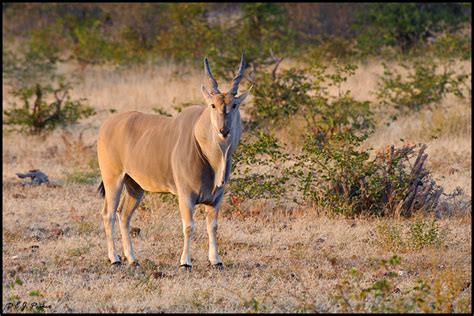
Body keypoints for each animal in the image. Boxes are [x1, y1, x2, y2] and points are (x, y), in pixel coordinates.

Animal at [96, 53, 252, 270]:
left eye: (234, 105)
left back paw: (133, 259)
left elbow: (213, 226)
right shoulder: (186, 195)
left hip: (135, 186)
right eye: (213, 105)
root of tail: (107, 125)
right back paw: (115, 258)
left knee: (124, 215)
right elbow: (189, 226)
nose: (224, 130)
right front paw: (185, 262)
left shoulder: (216, 198)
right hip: (113, 179)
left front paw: (216, 260)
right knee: (108, 214)